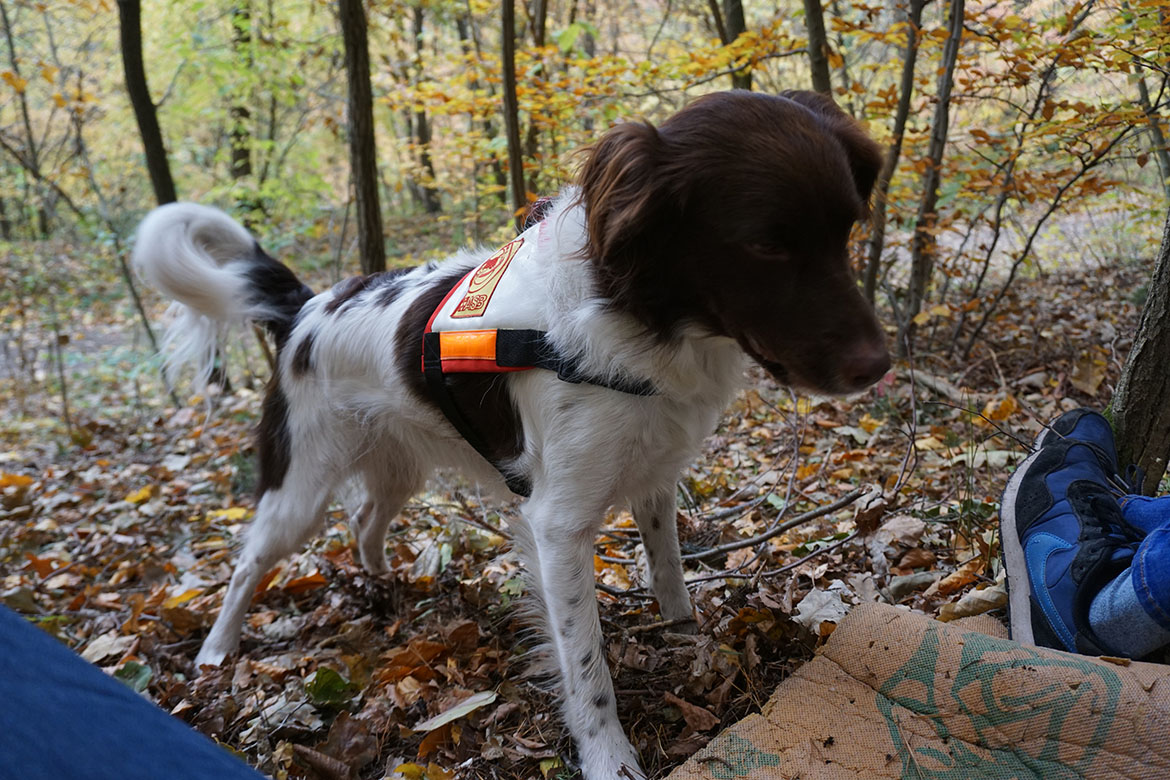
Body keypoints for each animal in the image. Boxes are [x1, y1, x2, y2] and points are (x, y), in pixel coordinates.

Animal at [132, 90, 884, 776]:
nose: (879, 365)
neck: (638, 319)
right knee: (250, 563)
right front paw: (608, 757)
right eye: (765, 244)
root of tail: (308, 307)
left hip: (399, 464)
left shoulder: (654, 476)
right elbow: (586, 664)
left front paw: (685, 637)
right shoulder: (559, 524)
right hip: (301, 486)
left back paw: (386, 586)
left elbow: (669, 572)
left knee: (366, 520)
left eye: (847, 230)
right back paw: (216, 650)